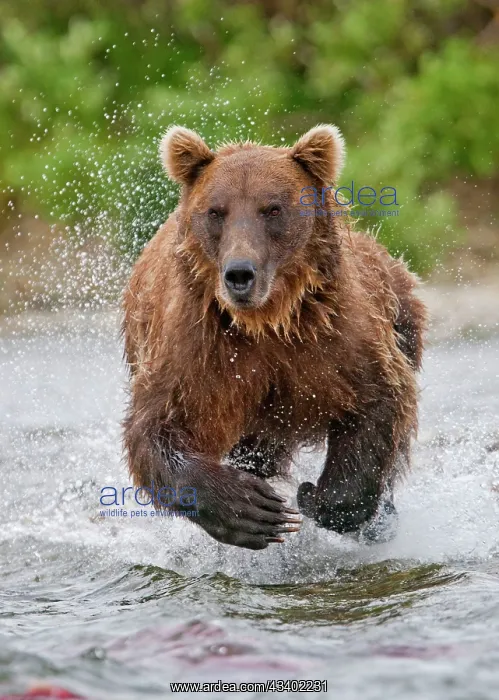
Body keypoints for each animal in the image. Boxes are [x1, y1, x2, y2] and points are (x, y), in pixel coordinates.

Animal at [122, 124, 427, 550]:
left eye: (272, 209)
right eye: (216, 211)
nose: (239, 273)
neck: (265, 321)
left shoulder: (339, 334)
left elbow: (380, 398)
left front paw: (318, 498)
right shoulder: (194, 348)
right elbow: (154, 430)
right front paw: (252, 509)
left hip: (400, 311)